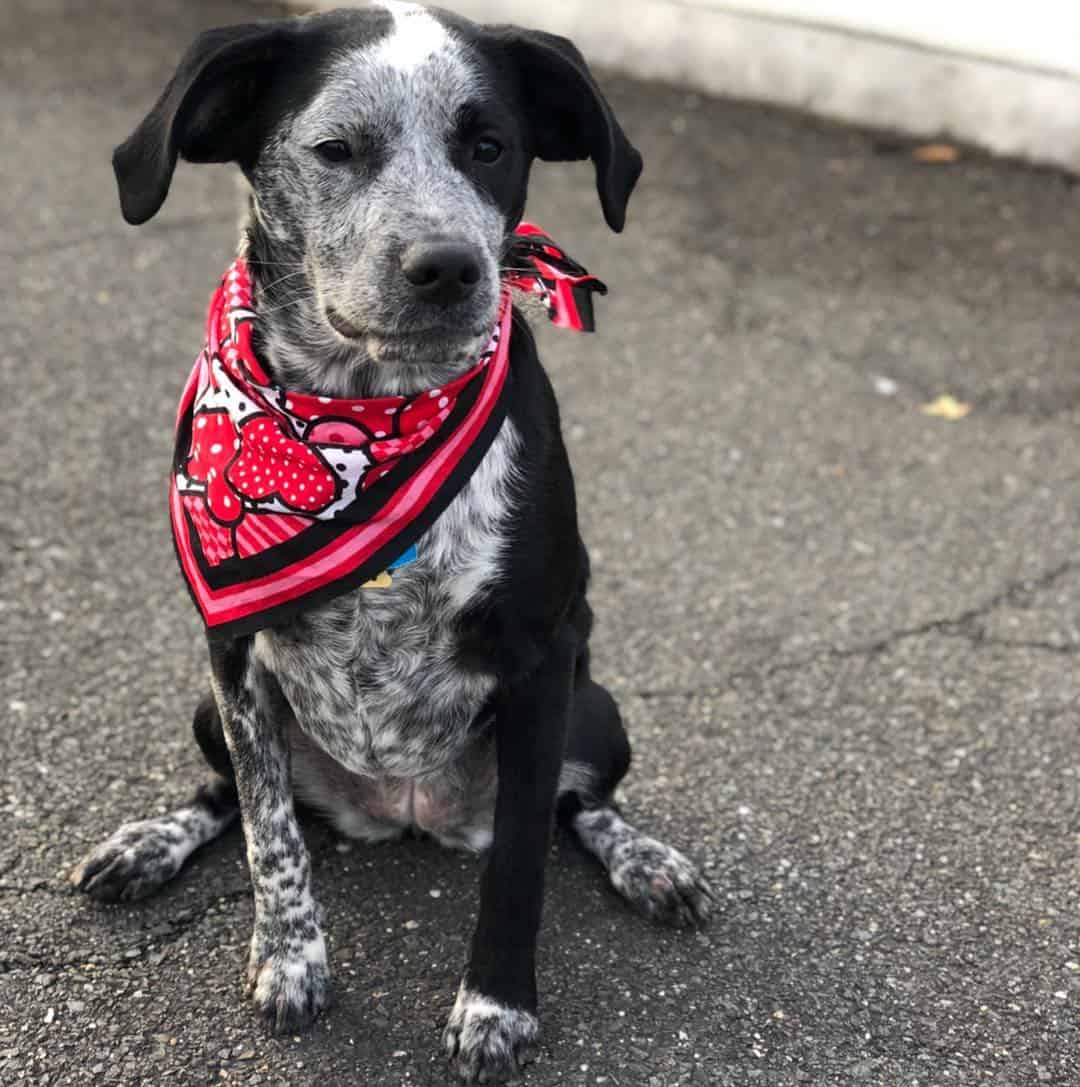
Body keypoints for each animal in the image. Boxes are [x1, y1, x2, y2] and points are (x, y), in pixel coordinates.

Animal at [73, 4, 717, 1082]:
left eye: (490, 146)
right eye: (335, 149)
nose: (449, 268)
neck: (364, 410)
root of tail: (404, 812)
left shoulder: (542, 660)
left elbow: (519, 865)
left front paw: (496, 1004)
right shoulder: (231, 647)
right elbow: (268, 831)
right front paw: (291, 960)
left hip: (600, 708)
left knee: (580, 807)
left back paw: (649, 863)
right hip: (206, 708)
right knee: (225, 792)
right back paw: (149, 843)